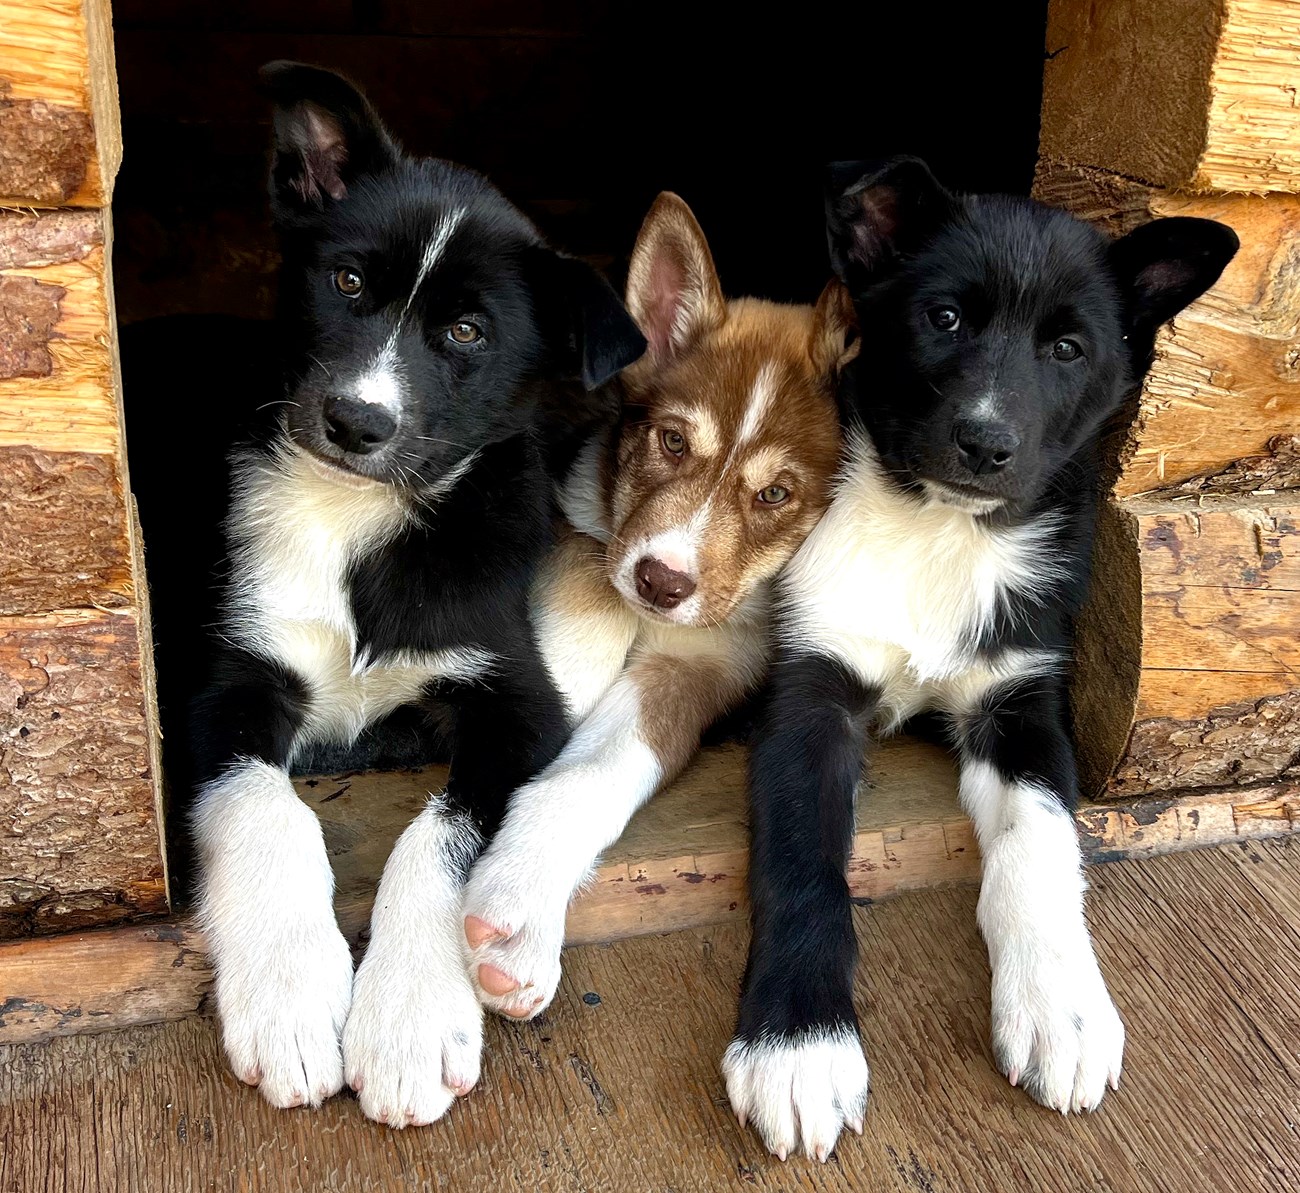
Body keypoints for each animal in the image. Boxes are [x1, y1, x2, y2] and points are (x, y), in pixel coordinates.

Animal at [188, 63, 644, 1128]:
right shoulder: (229, 675)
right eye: (348, 282)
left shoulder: (517, 700)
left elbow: (441, 833)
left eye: (466, 332)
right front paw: (290, 996)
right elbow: (263, 802)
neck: (357, 515)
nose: (356, 420)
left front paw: (406, 1018)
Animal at [454, 193, 852, 1018]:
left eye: (775, 494)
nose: (660, 584)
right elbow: (584, 615)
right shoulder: (577, 526)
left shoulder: (704, 662)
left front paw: (515, 913)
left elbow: (593, 772)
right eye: (672, 441)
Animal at [722, 156, 1237, 1159]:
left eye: (1068, 348)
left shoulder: (1021, 702)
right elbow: (801, 860)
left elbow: (1040, 844)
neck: (937, 531)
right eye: (945, 318)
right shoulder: (810, 693)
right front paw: (799, 1044)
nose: (985, 443)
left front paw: (1062, 1006)